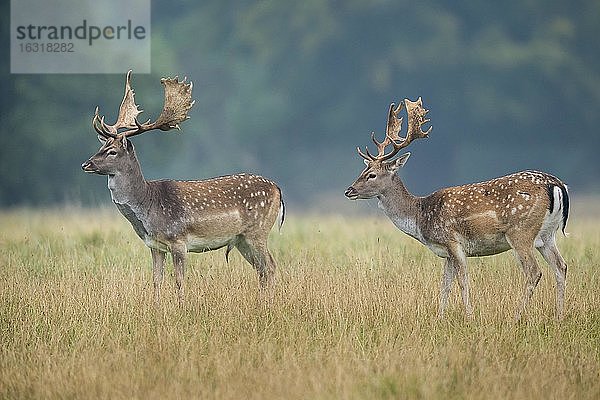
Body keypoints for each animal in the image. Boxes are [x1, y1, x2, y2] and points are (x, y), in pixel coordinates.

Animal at [82, 71, 286, 304]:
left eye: (112, 151)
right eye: (101, 146)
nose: (86, 164)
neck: (148, 206)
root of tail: (278, 190)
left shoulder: (178, 240)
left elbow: (179, 280)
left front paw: (181, 306)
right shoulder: (155, 246)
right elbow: (156, 280)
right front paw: (156, 306)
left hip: (257, 231)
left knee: (270, 266)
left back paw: (268, 303)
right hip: (242, 239)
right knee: (261, 270)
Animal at [344, 98, 568, 320]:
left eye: (371, 174)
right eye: (363, 170)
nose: (349, 190)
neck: (420, 216)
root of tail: (557, 185)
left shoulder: (454, 242)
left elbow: (462, 280)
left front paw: (469, 316)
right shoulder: (446, 252)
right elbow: (445, 284)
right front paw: (440, 317)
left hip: (521, 232)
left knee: (534, 271)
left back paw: (517, 317)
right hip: (547, 235)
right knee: (561, 267)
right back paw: (559, 317)